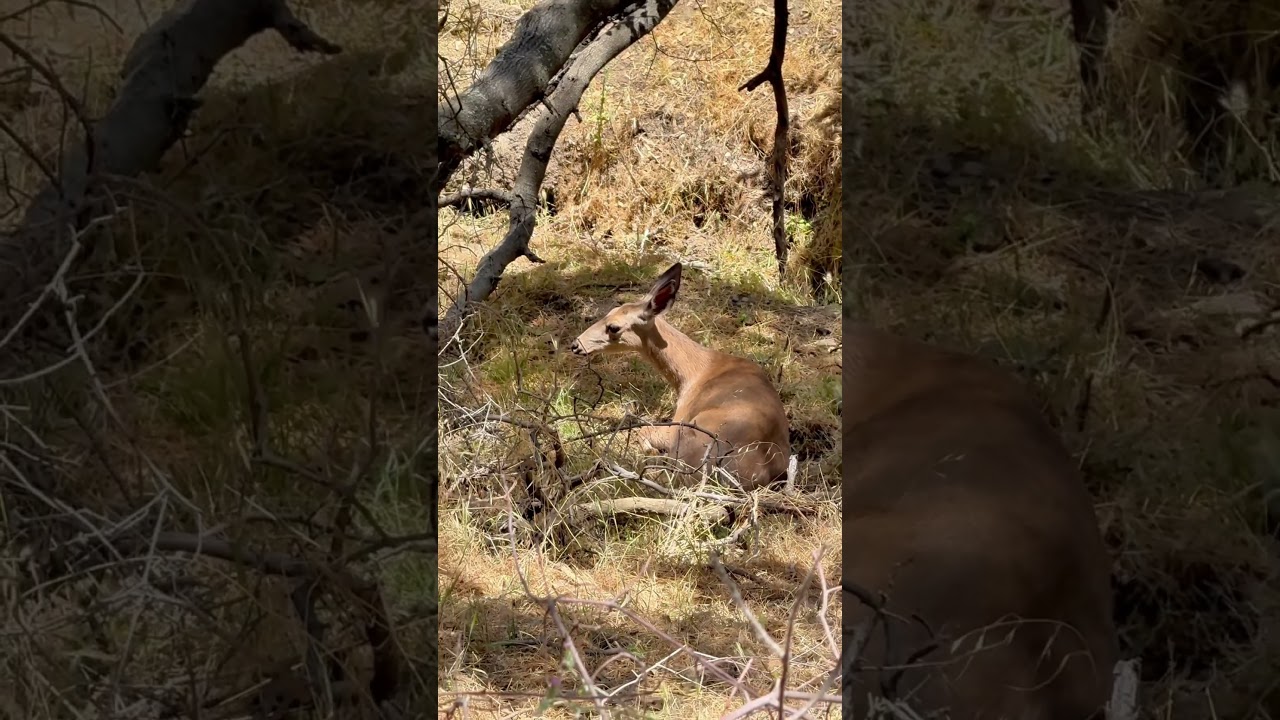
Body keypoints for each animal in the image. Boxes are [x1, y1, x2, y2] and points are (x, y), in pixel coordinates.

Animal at [569, 262, 791, 491]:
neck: (693, 373)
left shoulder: (676, 424)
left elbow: (644, 430)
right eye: (610, 311)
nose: (576, 344)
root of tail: (760, 472)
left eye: (614, 327)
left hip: (690, 439)